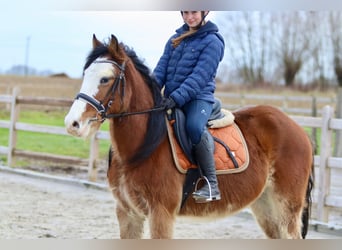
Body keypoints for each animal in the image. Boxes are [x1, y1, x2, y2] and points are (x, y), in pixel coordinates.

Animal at [63, 34, 312, 239]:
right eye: (85, 74)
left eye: (105, 79)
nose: (72, 123)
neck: (143, 148)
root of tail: (298, 128)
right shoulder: (127, 213)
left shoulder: (161, 214)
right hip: (265, 207)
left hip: (285, 208)